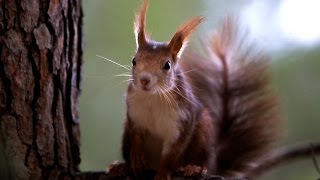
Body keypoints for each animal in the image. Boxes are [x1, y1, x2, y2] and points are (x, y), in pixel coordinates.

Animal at [107, 0, 280, 179]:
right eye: (134, 61)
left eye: (167, 65)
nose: (144, 80)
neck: (154, 97)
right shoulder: (135, 115)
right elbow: (136, 138)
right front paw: (135, 158)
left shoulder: (182, 122)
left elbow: (171, 153)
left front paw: (163, 173)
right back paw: (121, 167)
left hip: (204, 132)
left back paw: (194, 168)